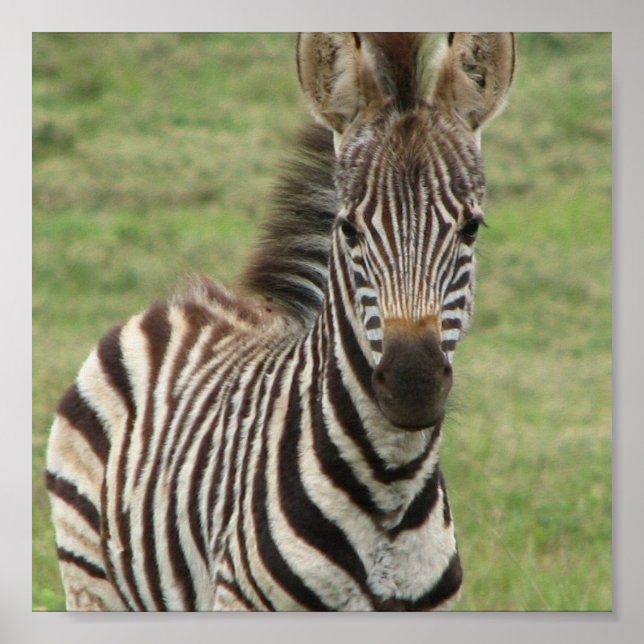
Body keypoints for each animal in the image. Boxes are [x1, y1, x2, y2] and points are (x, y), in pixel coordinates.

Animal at [46, 32, 516, 611]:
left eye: (471, 228)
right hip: (89, 576)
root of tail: (180, 302)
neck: (391, 486)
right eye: (348, 229)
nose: (413, 383)